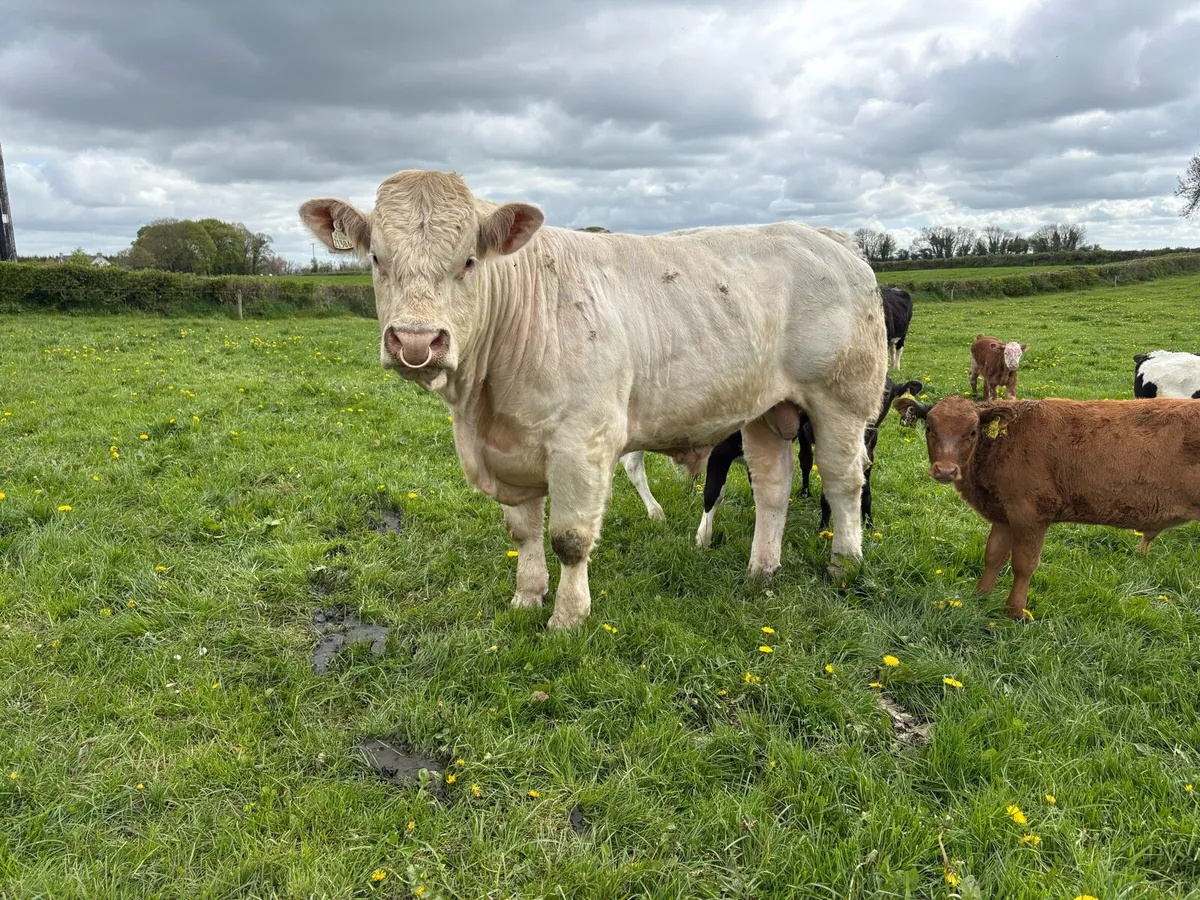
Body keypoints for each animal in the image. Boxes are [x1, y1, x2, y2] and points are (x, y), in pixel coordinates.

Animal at [299, 170, 887, 629]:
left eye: (468, 261)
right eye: (377, 258)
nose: (417, 342)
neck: (482, 410)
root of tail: (826, 236)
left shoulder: (581, 443)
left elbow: (569, 538)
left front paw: (567, 617)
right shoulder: (511, 452)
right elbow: (523, 530)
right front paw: (526, 598)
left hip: (841, 400)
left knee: (842, 481)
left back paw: (844, 564)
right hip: (766, 409)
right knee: (772, 486)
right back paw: (761, 571)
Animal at [892, 394, 1200, 619]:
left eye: (972, 431)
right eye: (929, 428)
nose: (945, 470)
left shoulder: (1030, 513)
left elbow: (1023, 564)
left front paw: (1015, 612)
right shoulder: (1003, 515)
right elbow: (993, 555)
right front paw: (981, 597)